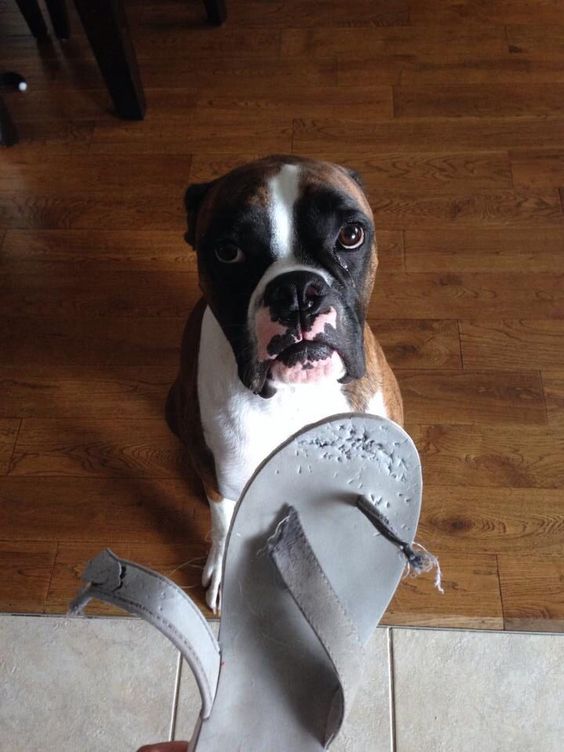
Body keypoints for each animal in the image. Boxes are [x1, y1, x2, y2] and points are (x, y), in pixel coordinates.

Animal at [165, 154, 404, 612]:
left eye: (350, 235)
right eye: (228, 251)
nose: (296, 290)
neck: (298, 394)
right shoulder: (223, 478)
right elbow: (224, 521)